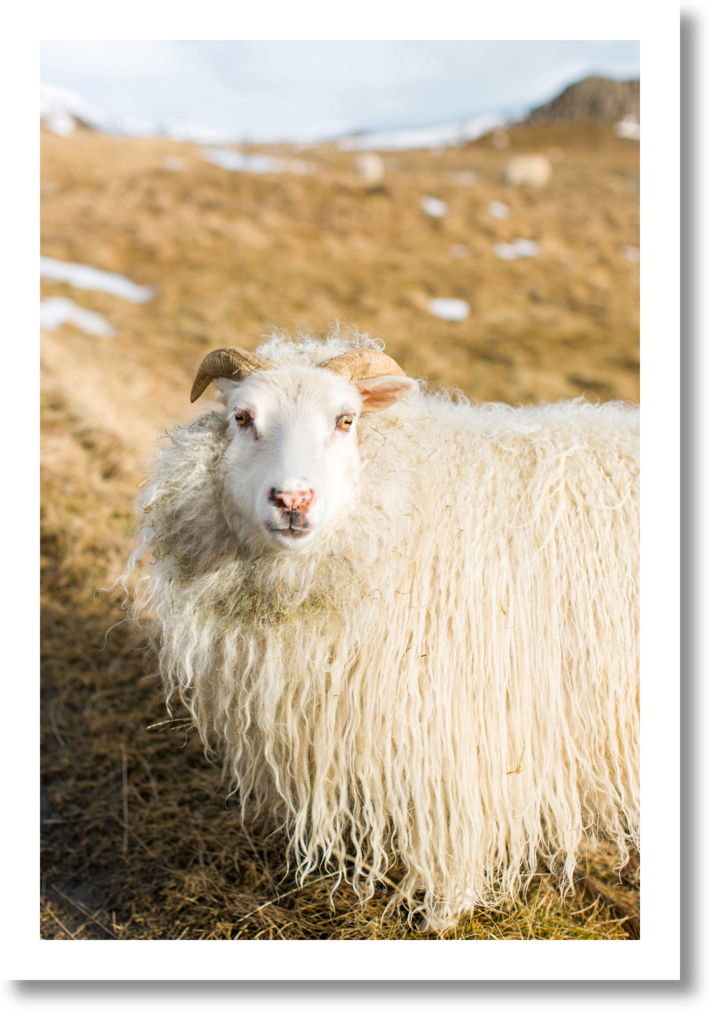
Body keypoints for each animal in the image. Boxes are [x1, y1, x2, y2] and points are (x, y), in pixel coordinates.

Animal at [127, 331, 639, 932]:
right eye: (242, 417)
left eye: (346, 420)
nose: (293, 501)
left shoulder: (464, 734)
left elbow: (453, 837)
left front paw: (443, 915)